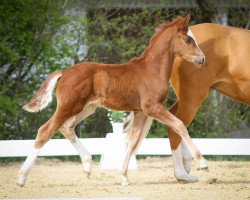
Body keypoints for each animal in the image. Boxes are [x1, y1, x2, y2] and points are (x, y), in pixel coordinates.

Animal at [17, 14, 205, 187]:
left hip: (86, 108)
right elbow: (179, 124)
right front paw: (202, 162)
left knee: (66, 127)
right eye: (188, 39)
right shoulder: (152, 107)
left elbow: (132, 142)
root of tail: (65, 72)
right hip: (68, 107)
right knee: (45, 131)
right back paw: (21, 178)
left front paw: (124, 177)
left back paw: (87, 166)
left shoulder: (140, 112)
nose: (202, 59)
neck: (152, 70)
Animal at [128, 22, 249, 182]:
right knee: (177, 127)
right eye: (187, 41)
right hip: (192, 99)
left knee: (175, 123)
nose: (201, 59)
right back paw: (187, 170)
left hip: (185, 99)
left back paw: (186, 167)